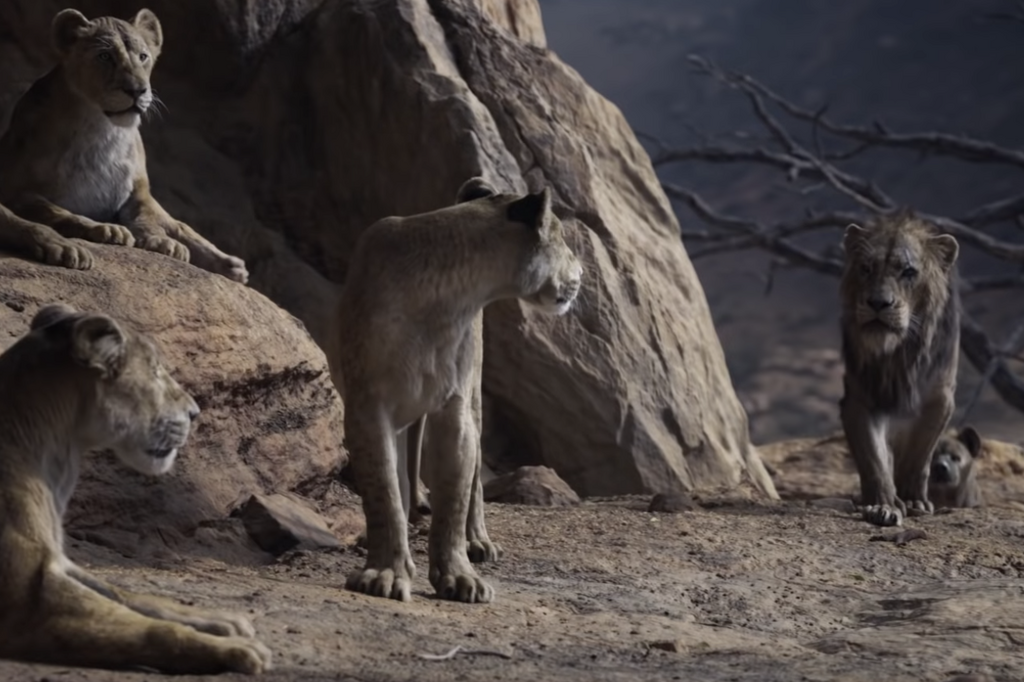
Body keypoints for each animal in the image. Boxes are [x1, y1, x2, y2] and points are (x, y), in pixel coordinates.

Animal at [0, 8, 247, 283]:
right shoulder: (17, 190)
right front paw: (105, 229)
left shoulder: (138, 190)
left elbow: (151, 216)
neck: (104, 130)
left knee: (179, 224)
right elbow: (55, 212)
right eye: (104, 56)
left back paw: (231, 265)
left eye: (143, 57)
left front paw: (162, 241)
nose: (137, 90)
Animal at [0, 303, 271, 674]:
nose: (195, 412)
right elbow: (154, 631)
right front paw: (234, 649)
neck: (58, 450)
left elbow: (130, 596)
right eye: (155, 372)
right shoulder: (29, 598)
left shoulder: (61, 563)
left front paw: (221, 620)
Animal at [330, 177, 582, 603]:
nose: (580, 270)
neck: (446, 295)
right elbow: (383, 491)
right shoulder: (369, 406)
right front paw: (386, 572)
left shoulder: (455, 407)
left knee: (476, 476)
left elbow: (454, 496)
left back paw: (478, 541)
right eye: (562, 238)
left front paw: (459, 576)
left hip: (475, 402)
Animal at [839, 211, 961, 526]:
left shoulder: (939, 398)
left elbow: (919, 456)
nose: (878, 303)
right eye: (866, 268)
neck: (899, 354)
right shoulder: (859, 399)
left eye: (908, 272)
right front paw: (882, 506)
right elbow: (874, 460)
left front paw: (913, 500)